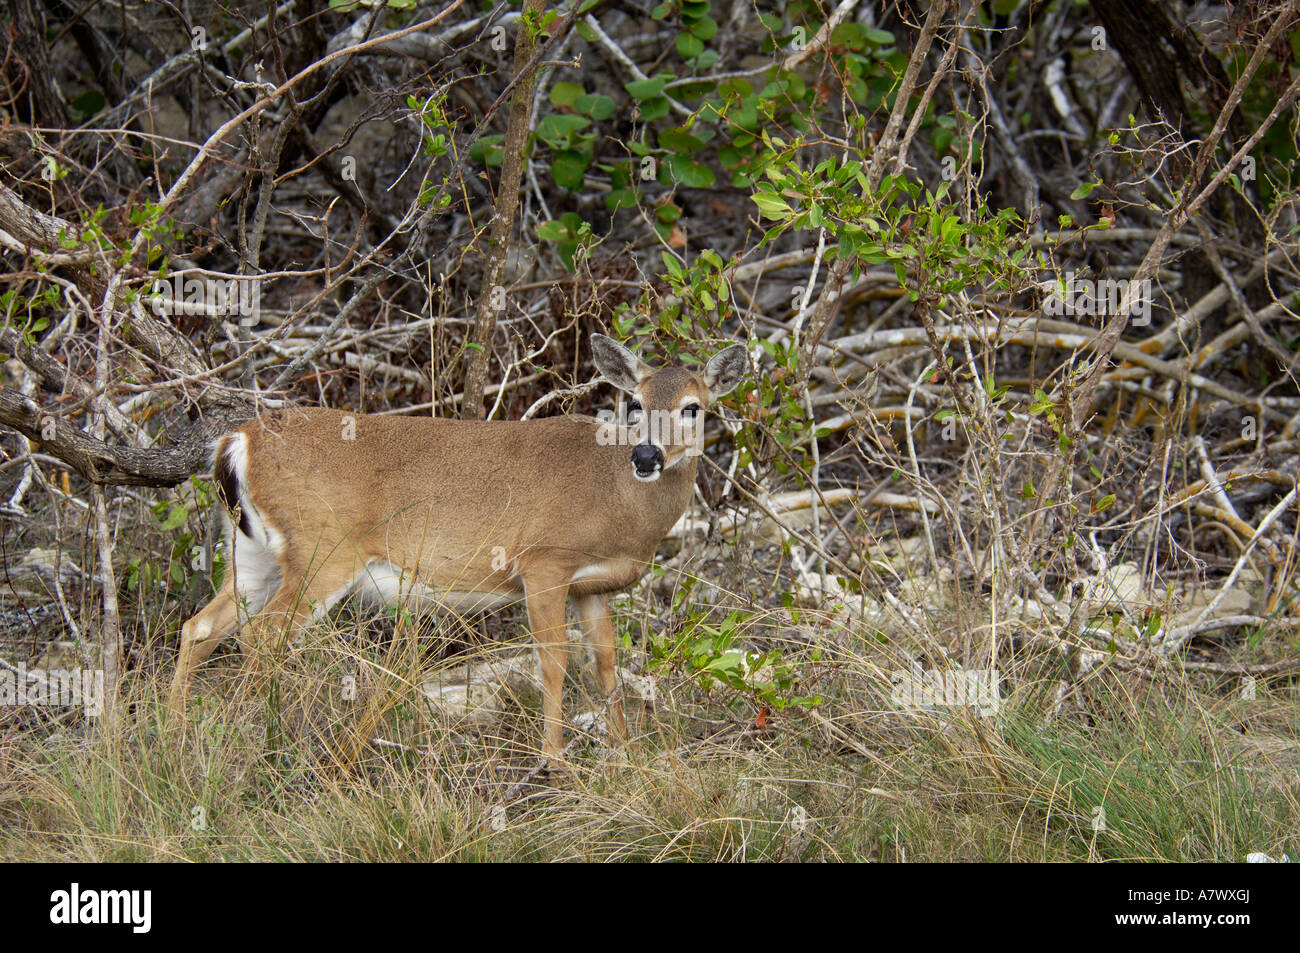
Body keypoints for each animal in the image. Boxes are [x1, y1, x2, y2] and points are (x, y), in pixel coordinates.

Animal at [168, 333, 748, 765]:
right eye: (635, 403)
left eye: (692, 408)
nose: (647, 456)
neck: (616, 502)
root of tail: (236, 442)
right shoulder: (543, 561)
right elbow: (554, 661)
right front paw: (554, 762)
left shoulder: (593, 585)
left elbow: (604, 662)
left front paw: (626, 754)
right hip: (322, 548)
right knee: (262, 636)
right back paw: (263, 738)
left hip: (252, 551)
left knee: (201, 626)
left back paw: (174, 737)